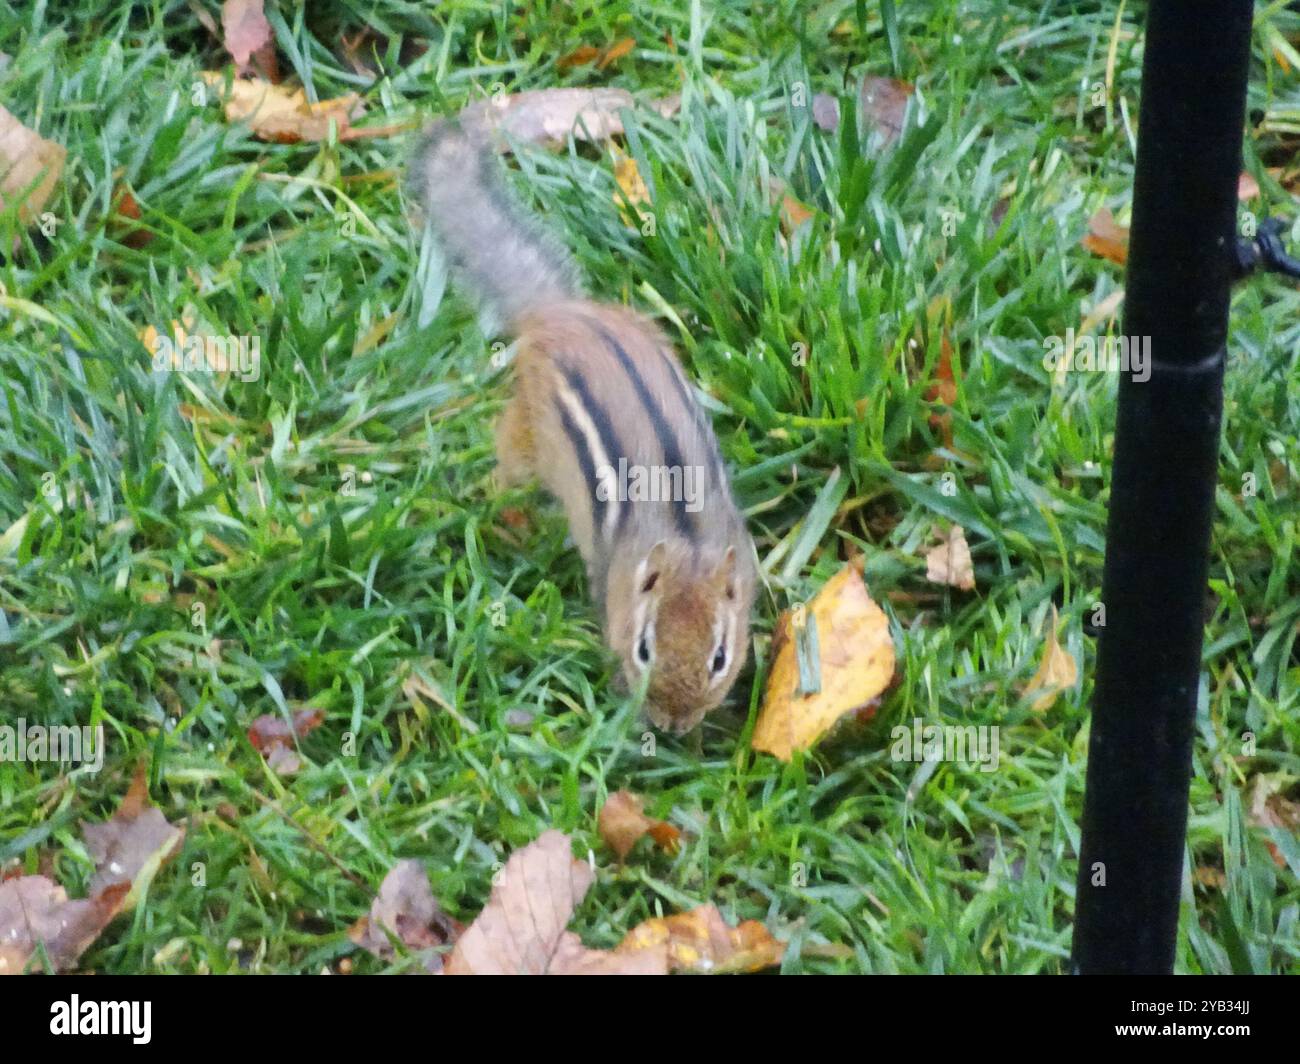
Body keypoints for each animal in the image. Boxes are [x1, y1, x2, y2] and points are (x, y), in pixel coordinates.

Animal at [409, 119, 757, 735]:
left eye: (719, 658)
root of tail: (561, 312)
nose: (672, 724)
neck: (688, 544)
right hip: (526, 434)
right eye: (644, 650)